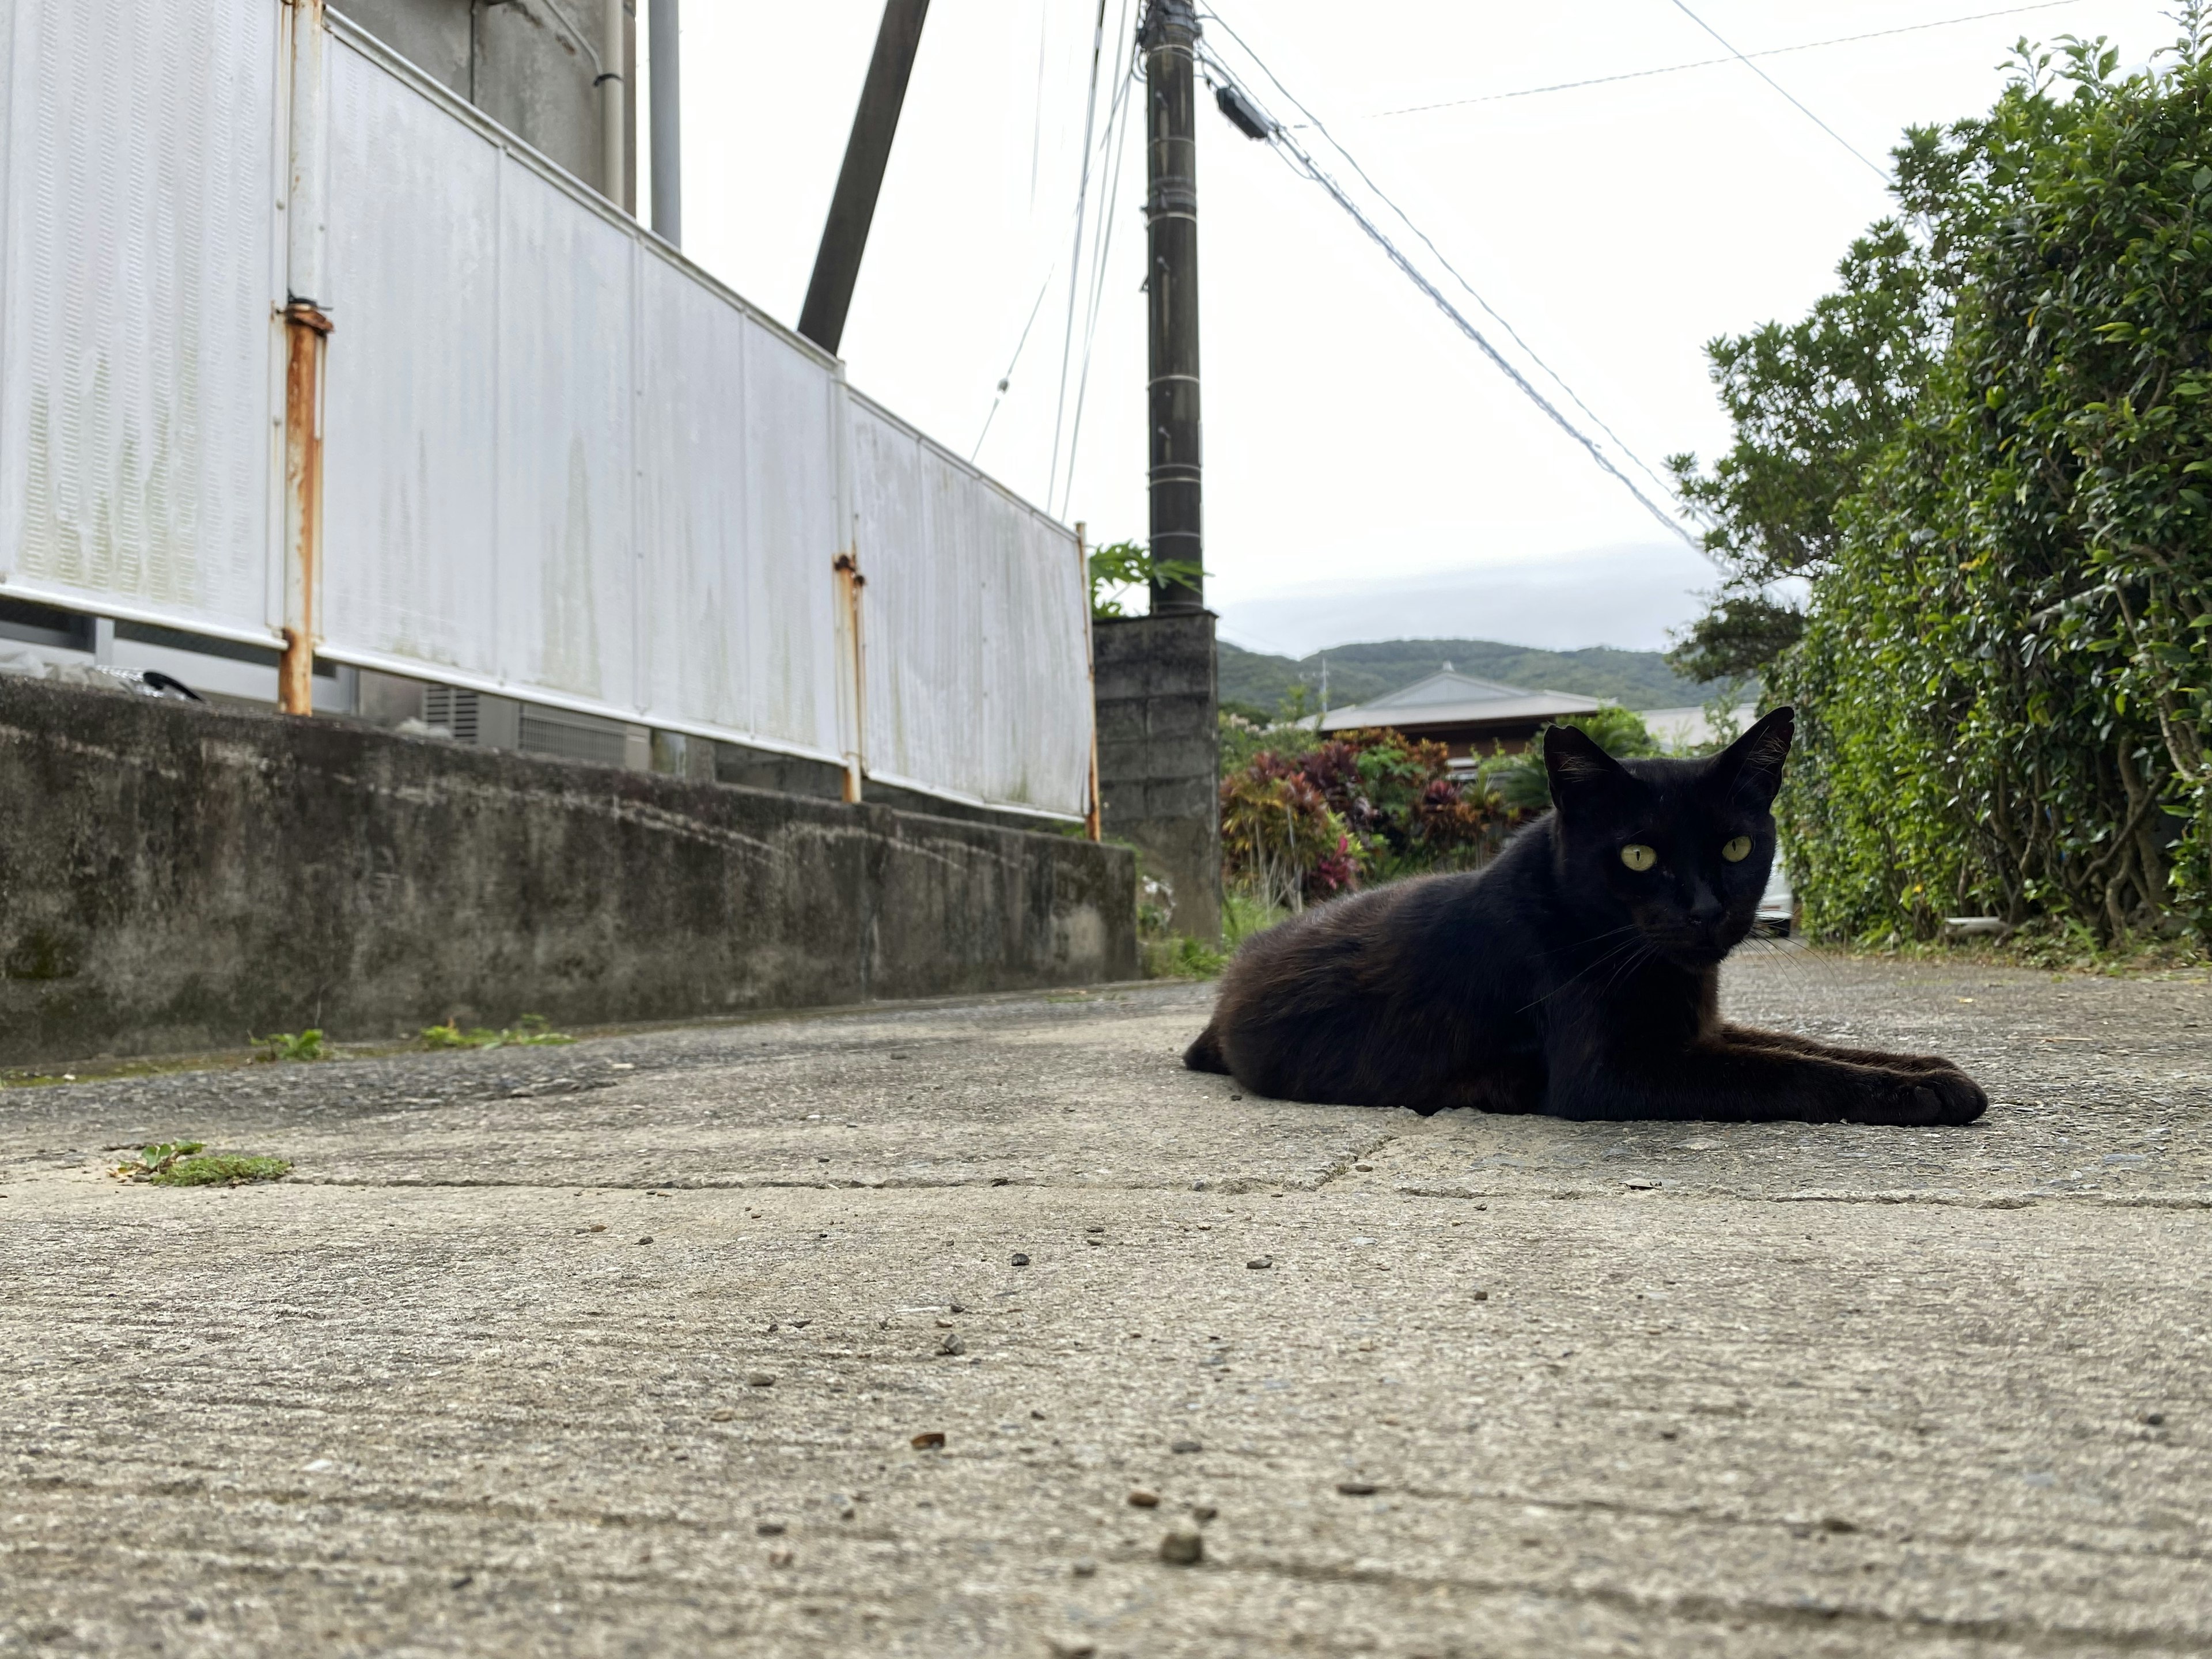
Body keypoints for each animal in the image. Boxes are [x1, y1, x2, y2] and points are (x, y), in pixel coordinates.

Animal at [1185, 717, 1999, 1132]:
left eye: (1738, 847)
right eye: (1639, 855)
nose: (1707, 911)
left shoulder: (1699, 1029)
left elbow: (1808, 1045)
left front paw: (1931, 1067)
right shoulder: (1614, 1074)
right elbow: (1788, 1070)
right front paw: (1926, 1093)